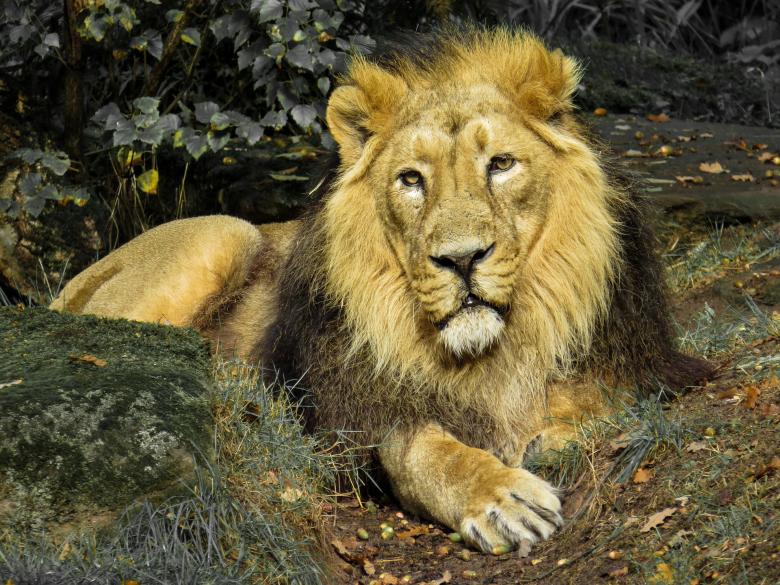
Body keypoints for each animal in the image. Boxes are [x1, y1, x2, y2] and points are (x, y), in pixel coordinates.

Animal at [51, 27, 711, 553]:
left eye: (501, 164)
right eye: (411, 180)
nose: (461, 259)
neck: (491, 350)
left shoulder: (635, 364)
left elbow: (602, 409)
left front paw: (550, 438)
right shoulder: (360, 414)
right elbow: (421, 452)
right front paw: (503, 499)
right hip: (224, 233)